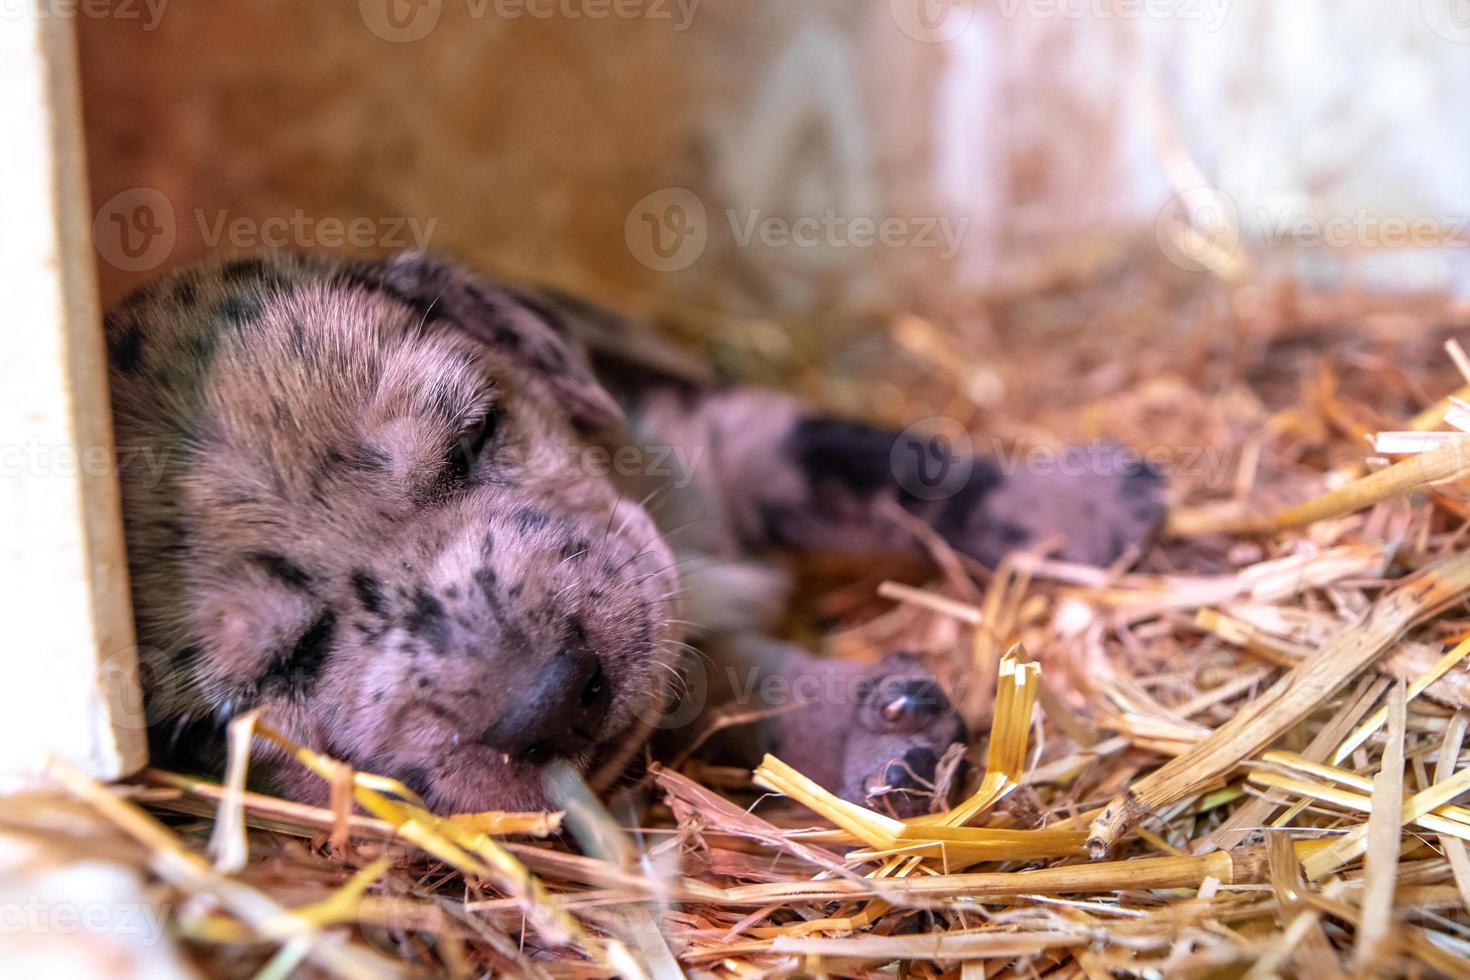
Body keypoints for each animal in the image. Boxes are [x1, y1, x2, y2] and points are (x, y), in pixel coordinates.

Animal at [103, 251, 1164, 811]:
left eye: (472, 437)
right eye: (270, 680)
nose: (547, 701)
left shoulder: (725, 433)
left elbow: (902, 468)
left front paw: (1084, 507)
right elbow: (728, 686)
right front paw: (865, 732)